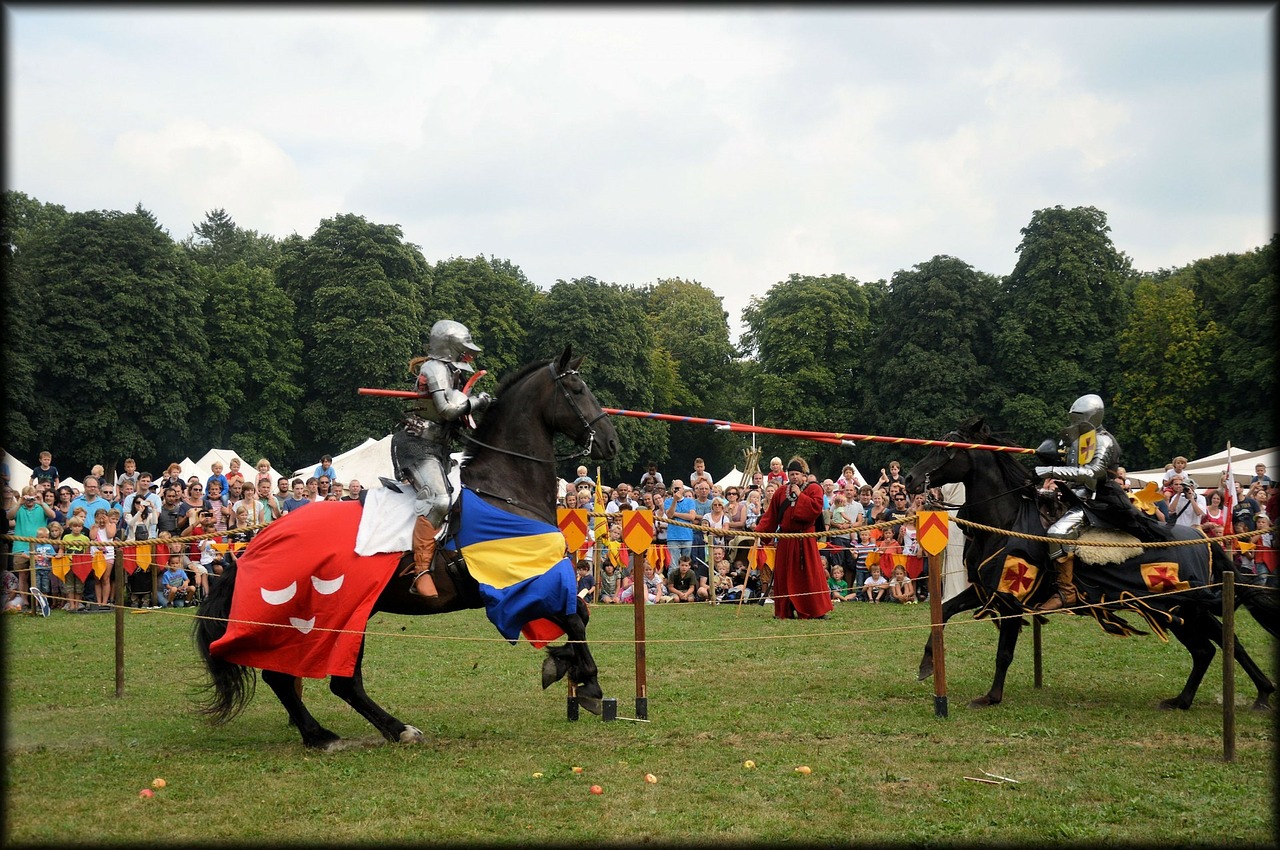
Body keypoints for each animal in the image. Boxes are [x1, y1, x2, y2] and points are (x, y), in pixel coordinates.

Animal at [190, 348, 624, 752]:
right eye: (577, 389)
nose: (610, 442)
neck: (505, 490)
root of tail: (262, 537)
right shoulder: (519, 583)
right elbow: (575, 619)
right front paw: (587, 684)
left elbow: (579, 614)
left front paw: (562, 664)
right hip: (331, 616)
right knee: (310, 678)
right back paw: (345, 734)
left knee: (316, 679)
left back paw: (349, 732)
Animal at [906, 417, 1274, 711]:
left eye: (944, 450)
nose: (910, 479)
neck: (1006, 520)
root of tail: (1203, 539)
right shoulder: (987, 591)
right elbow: (944, 612)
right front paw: (927, 664)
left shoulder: (1011, 599)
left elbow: (1004, 653)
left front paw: (991, 696)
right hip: (1182, 609)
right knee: (1216, 645)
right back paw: (1222, 697)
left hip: (1180, 608)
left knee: (1211, 647)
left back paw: (1221, 697)